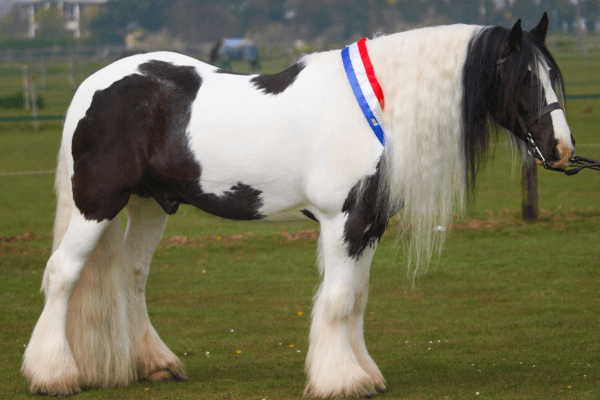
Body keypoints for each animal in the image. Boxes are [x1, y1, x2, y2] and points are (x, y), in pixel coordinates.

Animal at [23, 14, 576, 398]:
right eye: (525, 79)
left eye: (555, 76)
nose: (563, 150)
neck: (376, 110)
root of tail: (93, 85)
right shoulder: (342, 222)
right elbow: (337, 299)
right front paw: (342, 380)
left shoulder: (369, 226)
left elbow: (357, 298)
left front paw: (364, 371)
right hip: (97, 203)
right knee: (62, 274)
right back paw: (52, 375)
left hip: (151, 205)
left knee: (131, 277)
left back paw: (157, 365)